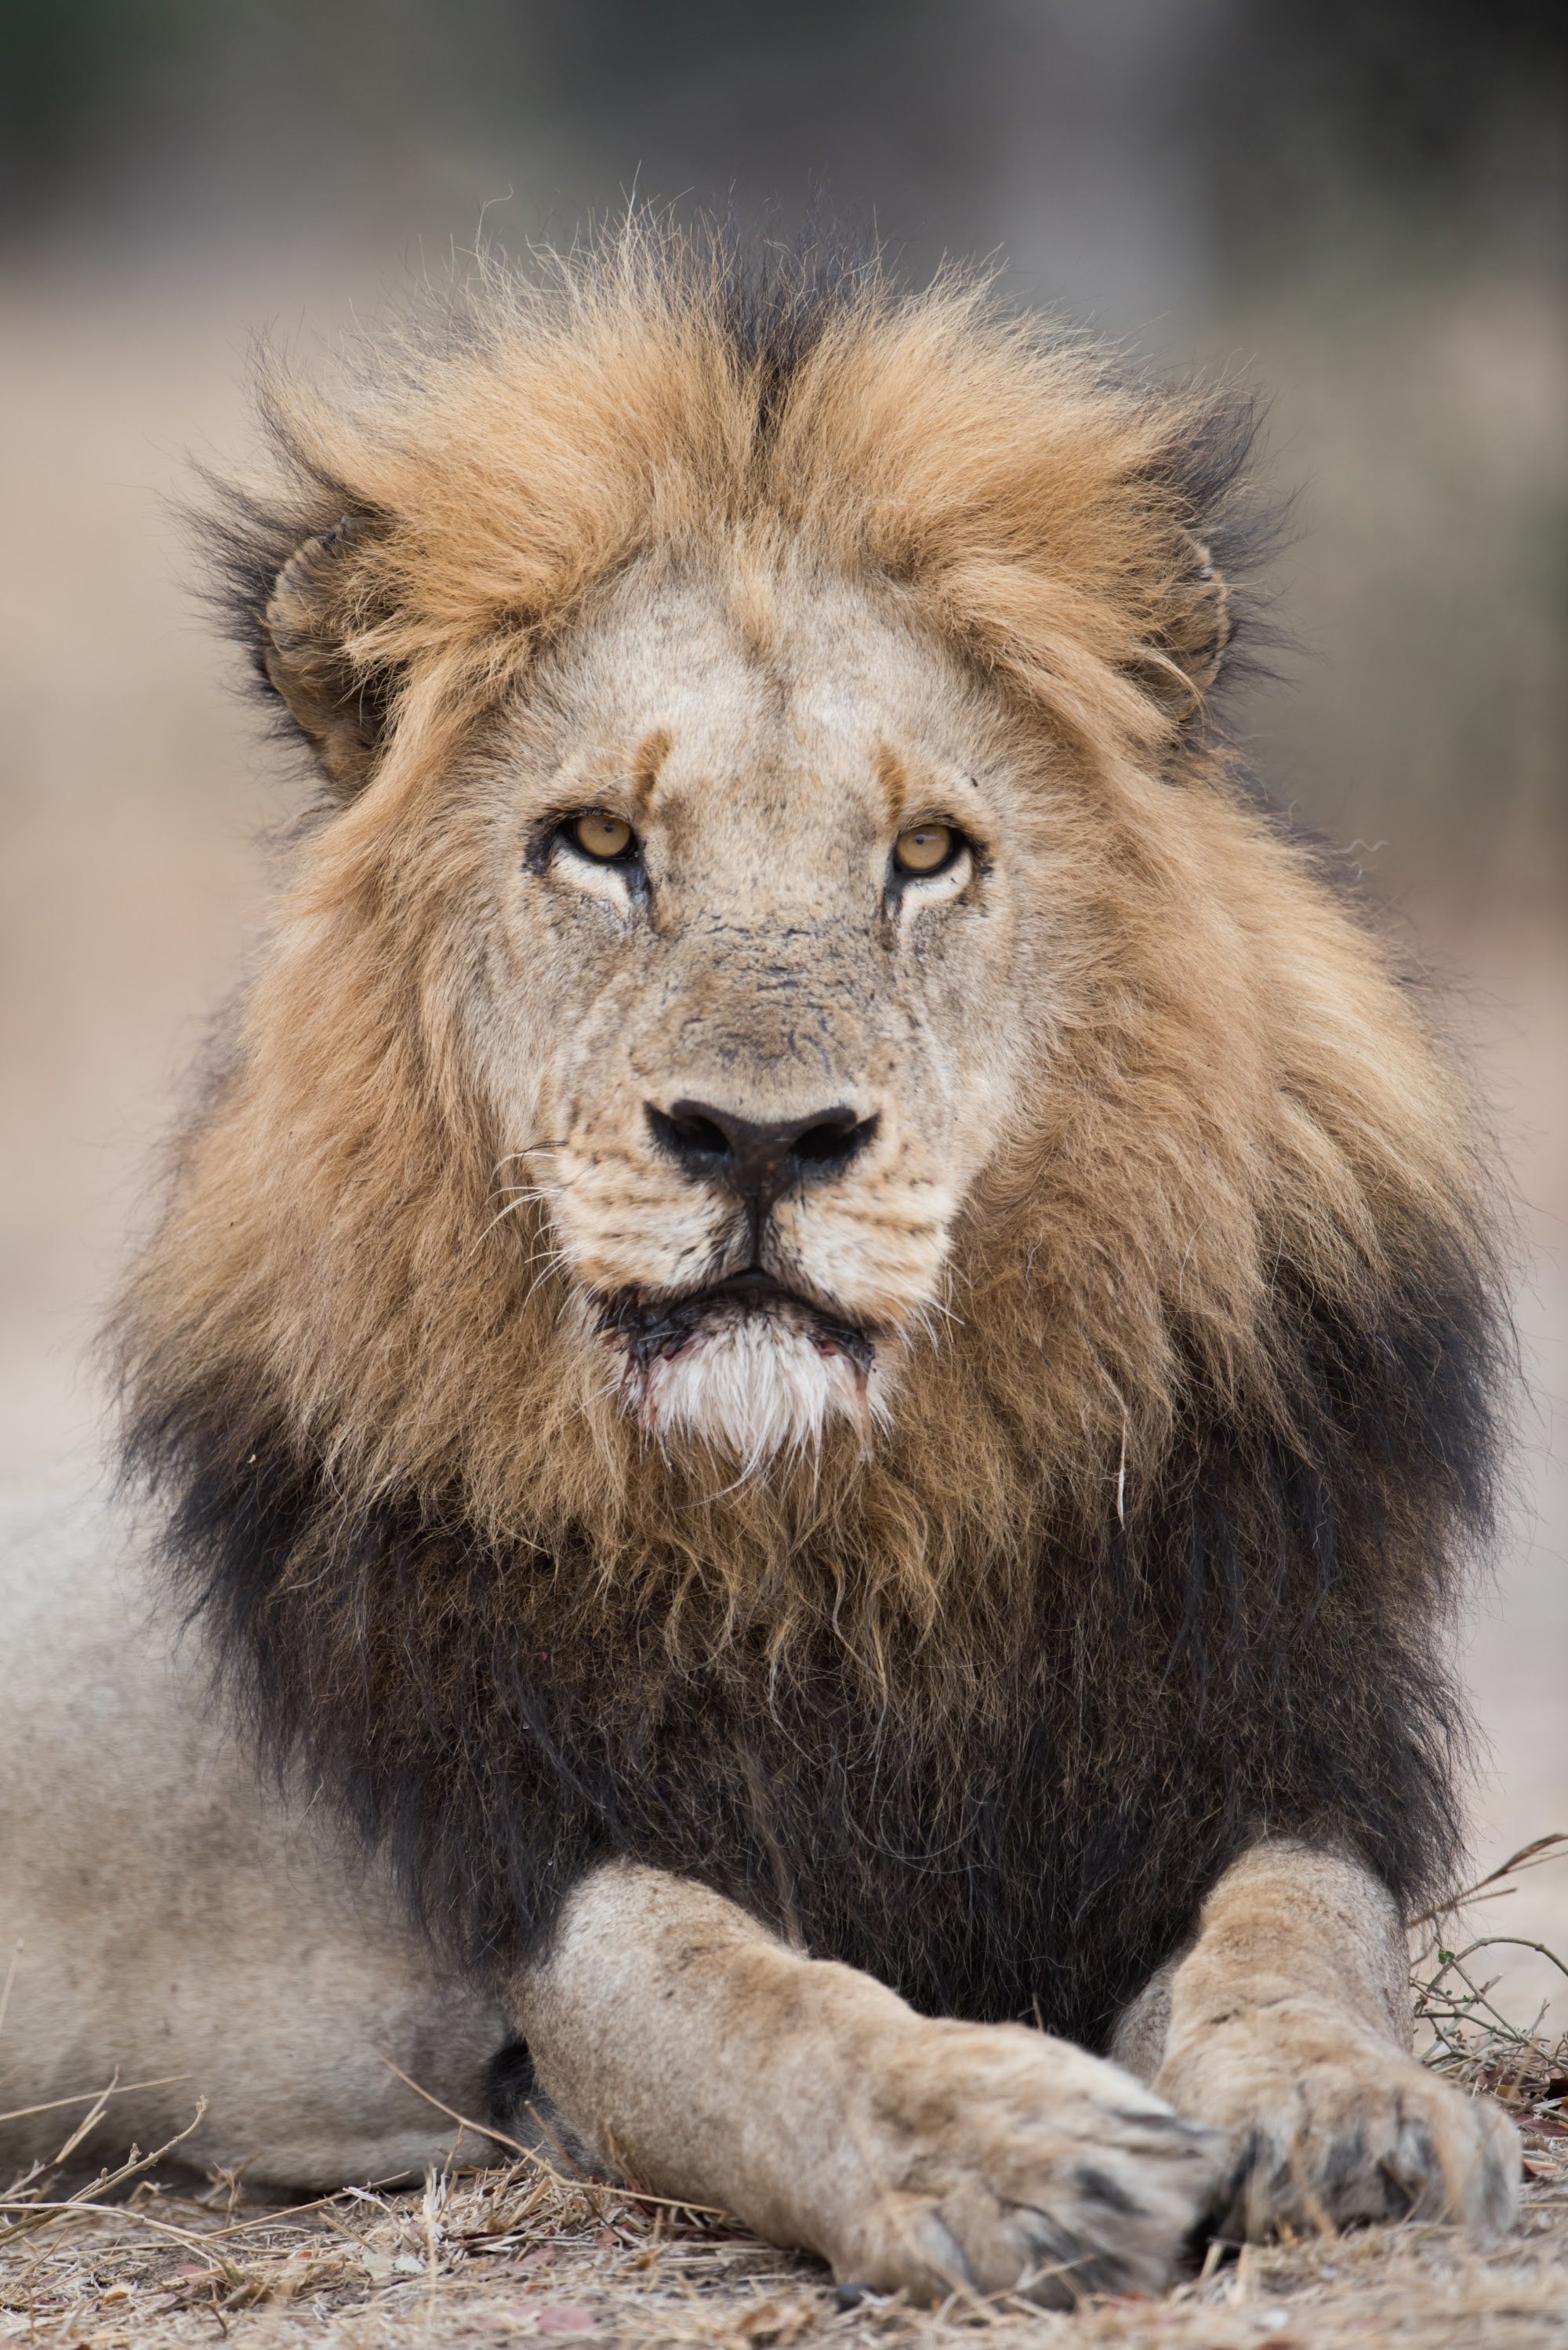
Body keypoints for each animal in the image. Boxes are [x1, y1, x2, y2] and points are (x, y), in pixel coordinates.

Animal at [0, 221, 1520, 2300]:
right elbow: (748, 2007)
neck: (849, 1536)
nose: (760, 1141)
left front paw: (1360, 2119)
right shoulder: (531, 1867)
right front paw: (1007, 2145)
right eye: (597, 841)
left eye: (928, 852)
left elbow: (1292, 1946)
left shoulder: (1265, 1740)